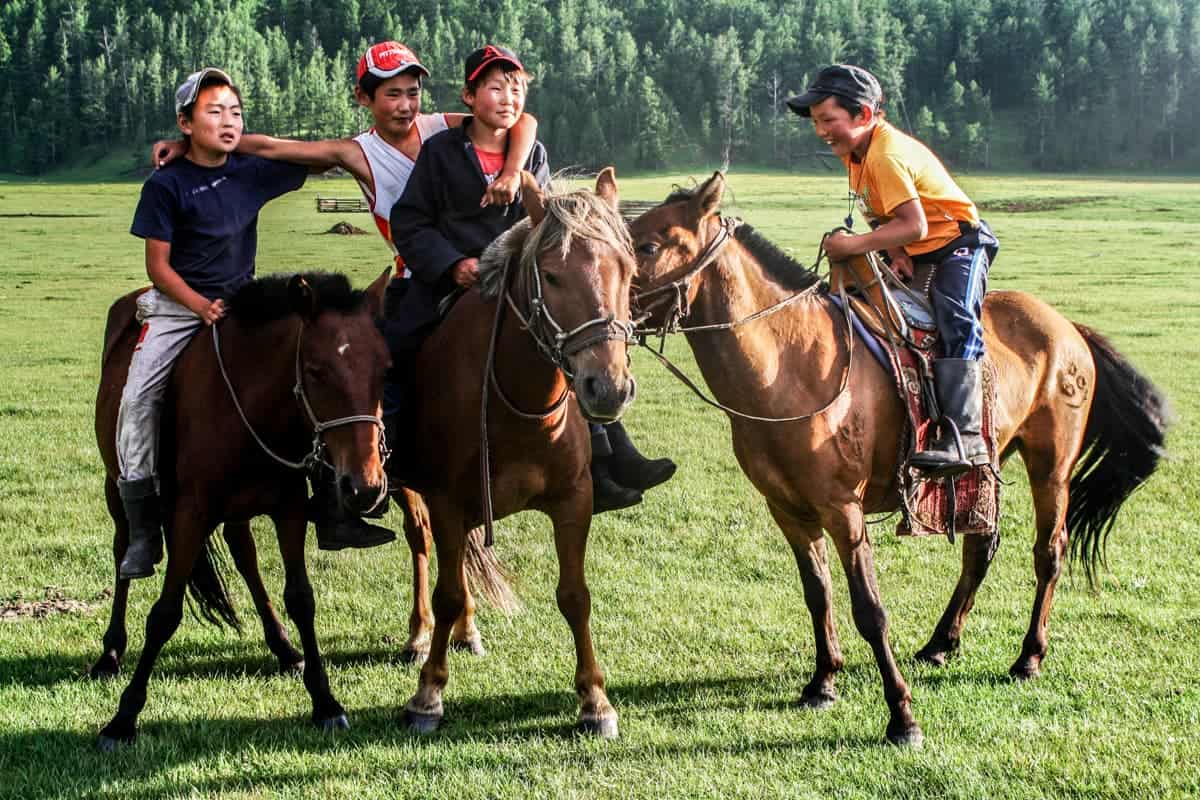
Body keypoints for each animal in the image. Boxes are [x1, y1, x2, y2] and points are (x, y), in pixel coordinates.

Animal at [92, 272, 388, 748]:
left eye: (385, 369)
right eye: (316, 371)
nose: (364, 487)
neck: (249, 404)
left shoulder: (288, 509)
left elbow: (301, 599)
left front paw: (325, 702)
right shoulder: (190, 515)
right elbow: (164, 614)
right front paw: (122, 720)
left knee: (243, 551)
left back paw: (284, 648)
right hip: (115, 485)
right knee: (124, 551)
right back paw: (111, 650)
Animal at [398, 169, 638, 738]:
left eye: (628, 270)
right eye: (551, 276)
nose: (607, 388)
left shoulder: (574, 500)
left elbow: (575, 596)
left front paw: (595, 700)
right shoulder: (445, 500)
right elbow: (446, 592)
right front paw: (428, 696)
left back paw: (466, 632)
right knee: (422, 548)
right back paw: (420, 635)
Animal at [628, 172, 1171, 748]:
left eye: (649, 245)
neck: (789, 365)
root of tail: (1067, 327)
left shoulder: (842, 509)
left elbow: (869, 609)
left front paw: (901, 716)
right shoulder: (788, 510)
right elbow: (817, 593)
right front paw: (823, 682)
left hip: (1052, 466)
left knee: (1049, 551)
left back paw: (1027, 658)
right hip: (988, 465)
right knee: (981, 548)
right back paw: (940, 642)